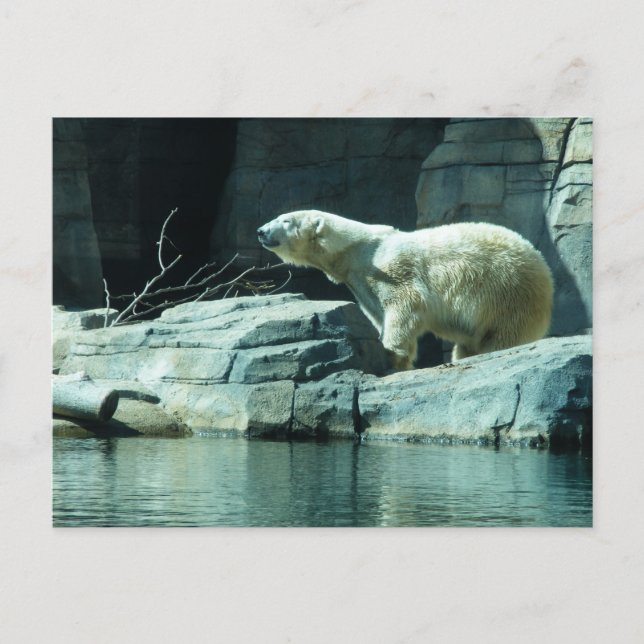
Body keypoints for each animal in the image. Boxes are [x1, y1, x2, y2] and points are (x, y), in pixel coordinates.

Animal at [257, 210, 554, 370]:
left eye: (285, 220)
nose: (260, 230)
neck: (354, 250)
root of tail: (543, 267)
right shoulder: (361, 283)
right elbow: (379, 313)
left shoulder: (391, 268)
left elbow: (404, 306)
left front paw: (391, 354)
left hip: (509, 294)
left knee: (502, 335)